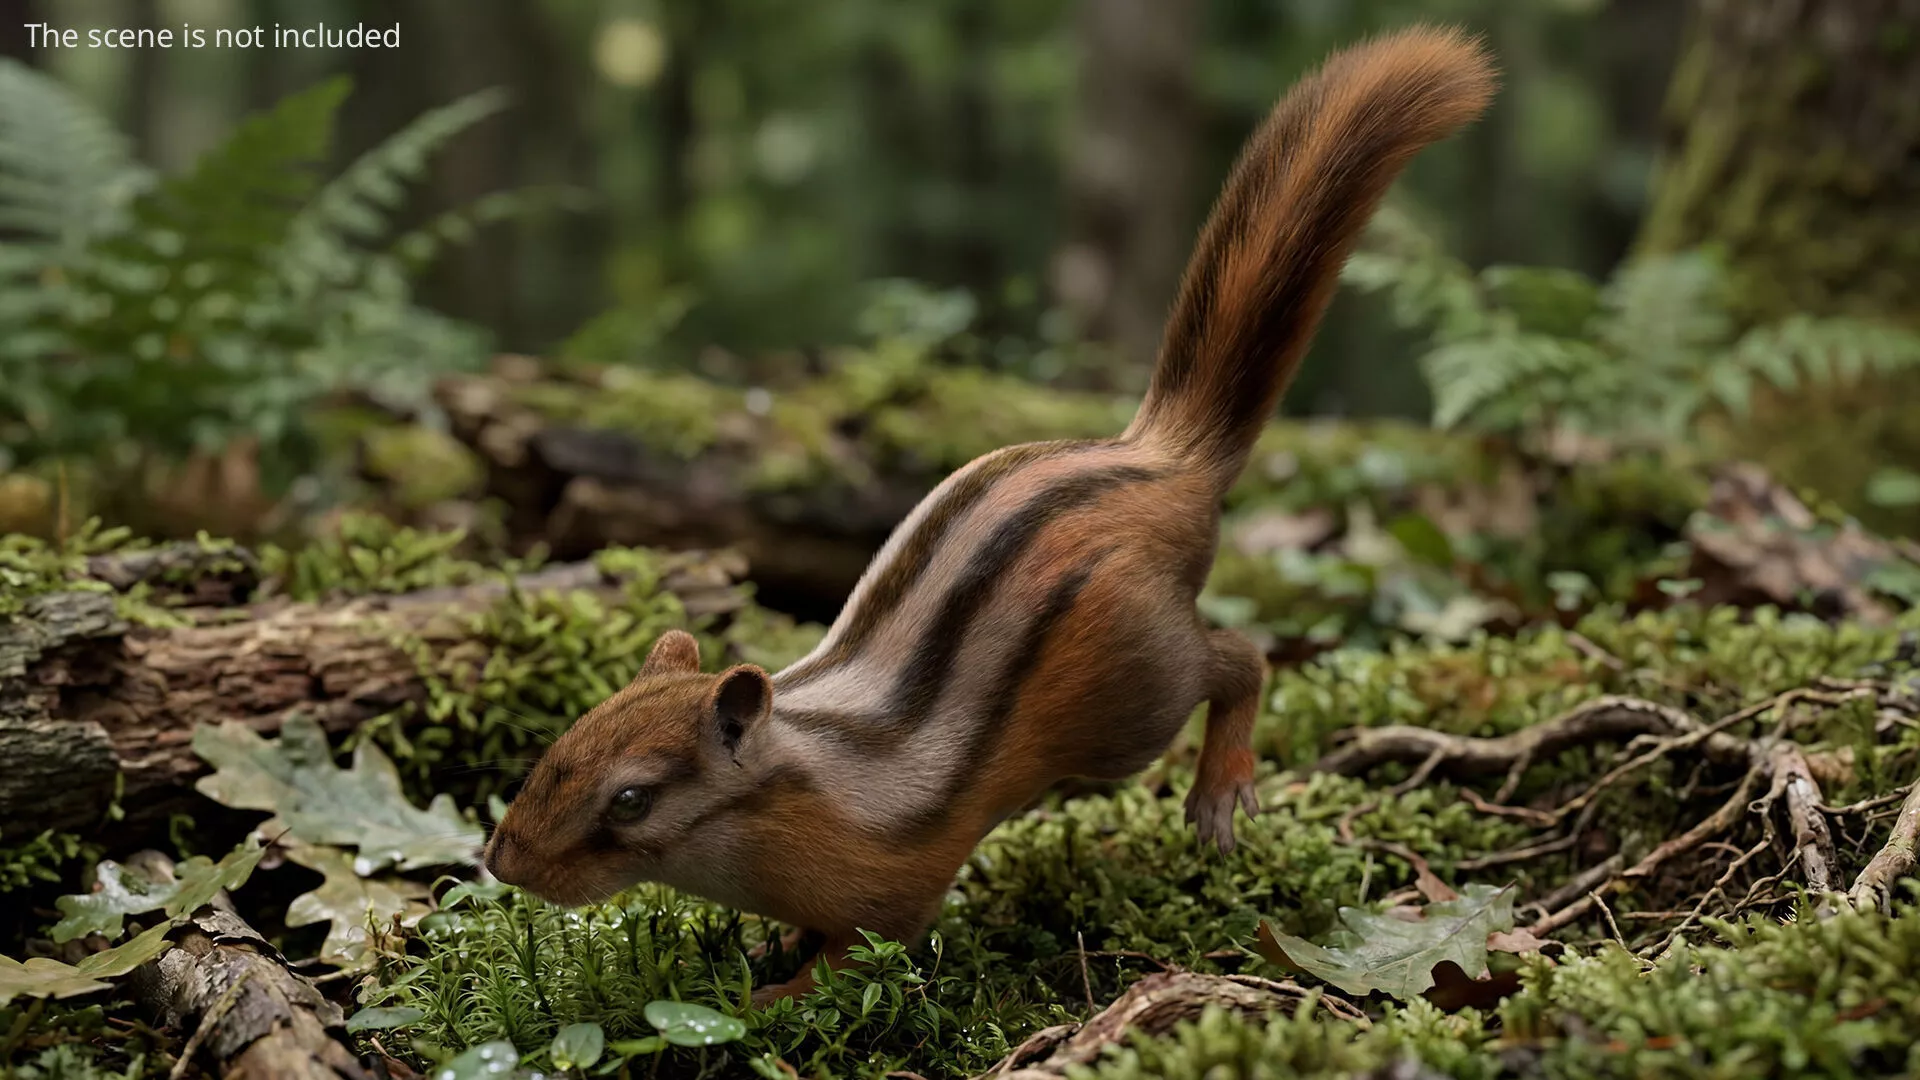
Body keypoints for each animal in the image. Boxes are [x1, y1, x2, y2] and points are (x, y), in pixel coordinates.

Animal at [484, 25, 1496, 1005]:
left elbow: (861, 955)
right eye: (559, 745)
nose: (501, 861)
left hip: (1138, 696)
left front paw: (773, 996)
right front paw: (770, 946)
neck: (805, 775)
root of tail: (1164, 461)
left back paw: (1219, 792)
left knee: (1240, 659)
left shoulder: (891, 891)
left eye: (630, 800)